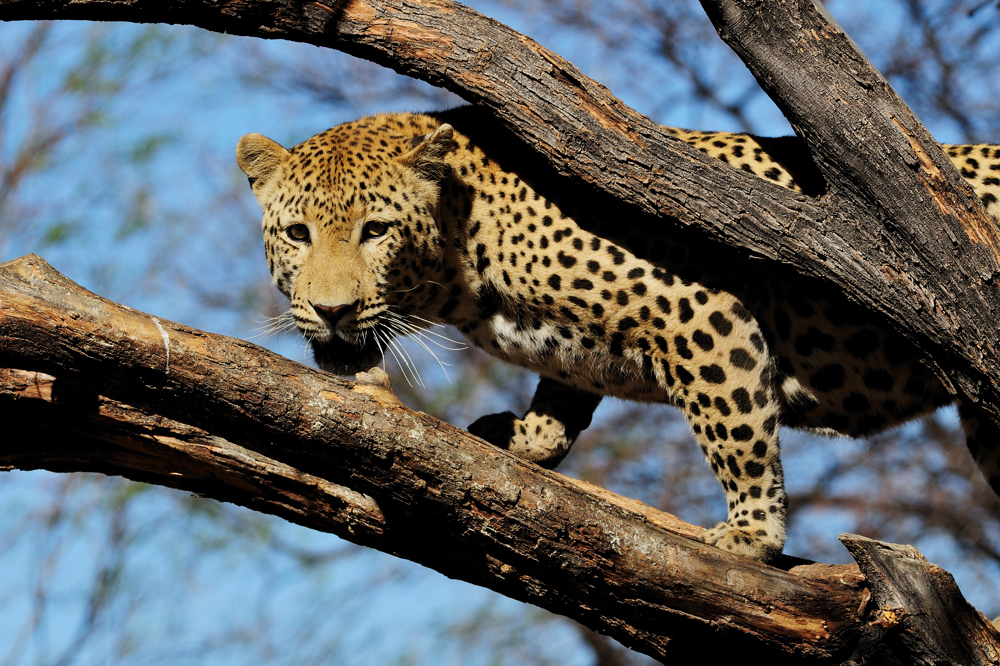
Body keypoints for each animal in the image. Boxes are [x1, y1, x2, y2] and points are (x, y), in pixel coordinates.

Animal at [236, 105, 1000, 560]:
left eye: (376, 231)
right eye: (297, 234)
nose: (332, 312)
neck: (466, 256)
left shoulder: (700, 310)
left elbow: (739, 430)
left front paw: (752, 535)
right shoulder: (572, 349)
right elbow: (561, 401)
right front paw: (522, 438)